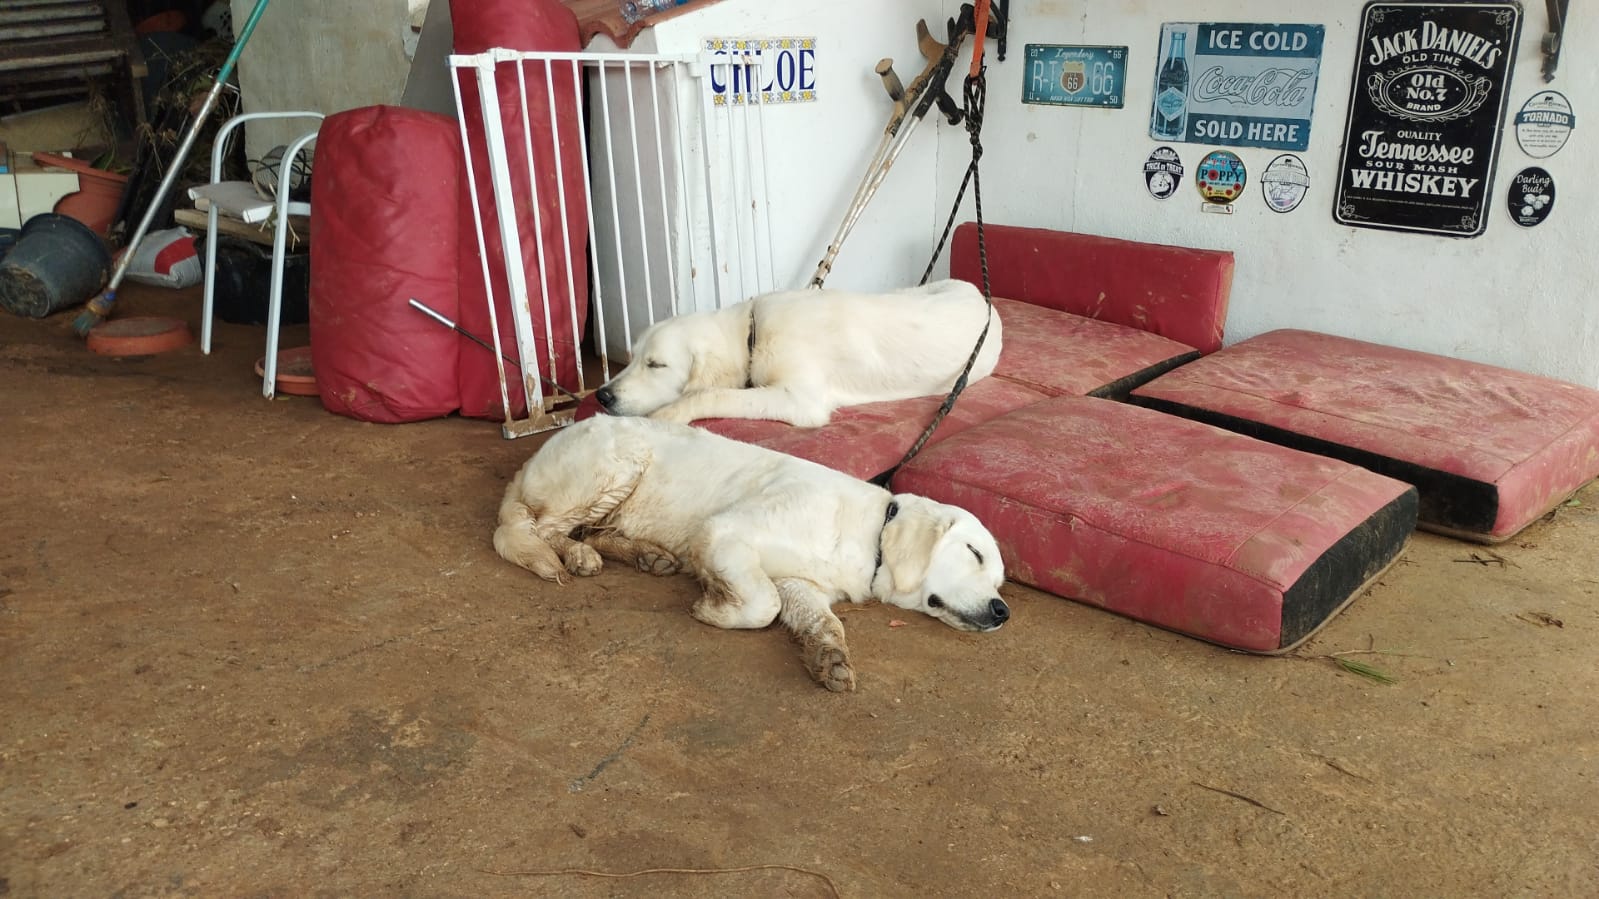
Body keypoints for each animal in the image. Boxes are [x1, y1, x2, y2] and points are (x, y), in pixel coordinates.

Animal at [492, 412, 1004, 684]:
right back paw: (578, 556)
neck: (870, 535)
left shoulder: (800, 582)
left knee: (586, 529)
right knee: (541, 529)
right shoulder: (723, 533)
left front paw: (830, 657)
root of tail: (531, 460)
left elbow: (821, 620)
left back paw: (643, 554)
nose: (1004, 611)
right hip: (617, 465)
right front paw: (714, 609)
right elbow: (763, 604)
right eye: (974, 553)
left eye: (1000, 580)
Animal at [594, 279, 1004, 425]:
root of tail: (985, 300)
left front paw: (670, 413)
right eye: (631, 357)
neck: (753, 332)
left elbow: (712, 394)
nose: (602, 395)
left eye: (656, 364)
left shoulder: (799, 400)